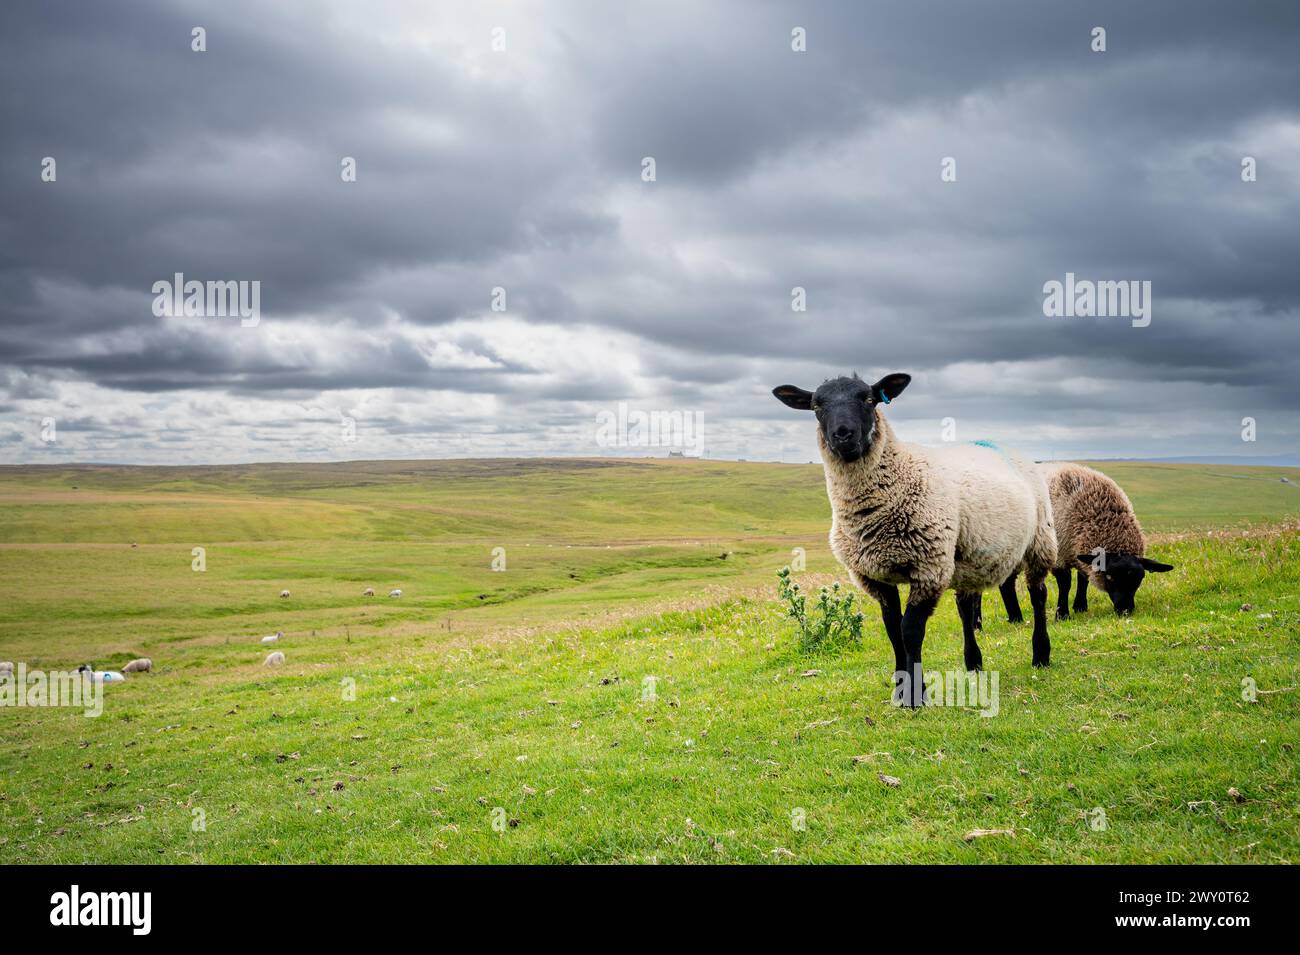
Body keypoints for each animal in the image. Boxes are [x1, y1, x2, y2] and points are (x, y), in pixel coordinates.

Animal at [774, 373, 1056, 707]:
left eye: (869, 399)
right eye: (817, 405)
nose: (843, 435)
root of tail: (1000, 443)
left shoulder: (928, 568)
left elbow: (910, 631)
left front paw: (914, 695)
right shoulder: (875, 577)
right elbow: (893, 630)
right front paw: (900, 686)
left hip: (1040, 539)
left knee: (1038, 595)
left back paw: (1041, 654)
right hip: (967, 558)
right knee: (965, 607)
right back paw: (973, 663)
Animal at [997, 462, 1173, 619]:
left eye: (1139, 579)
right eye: (1109, 577)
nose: (1125, 610)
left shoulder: (1078, 549)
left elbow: (1083, 579)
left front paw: (1080, 606)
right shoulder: (1060, 554)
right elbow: (1065, 583)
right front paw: (1062, 614)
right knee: (1006, 583)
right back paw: (1016, 617)